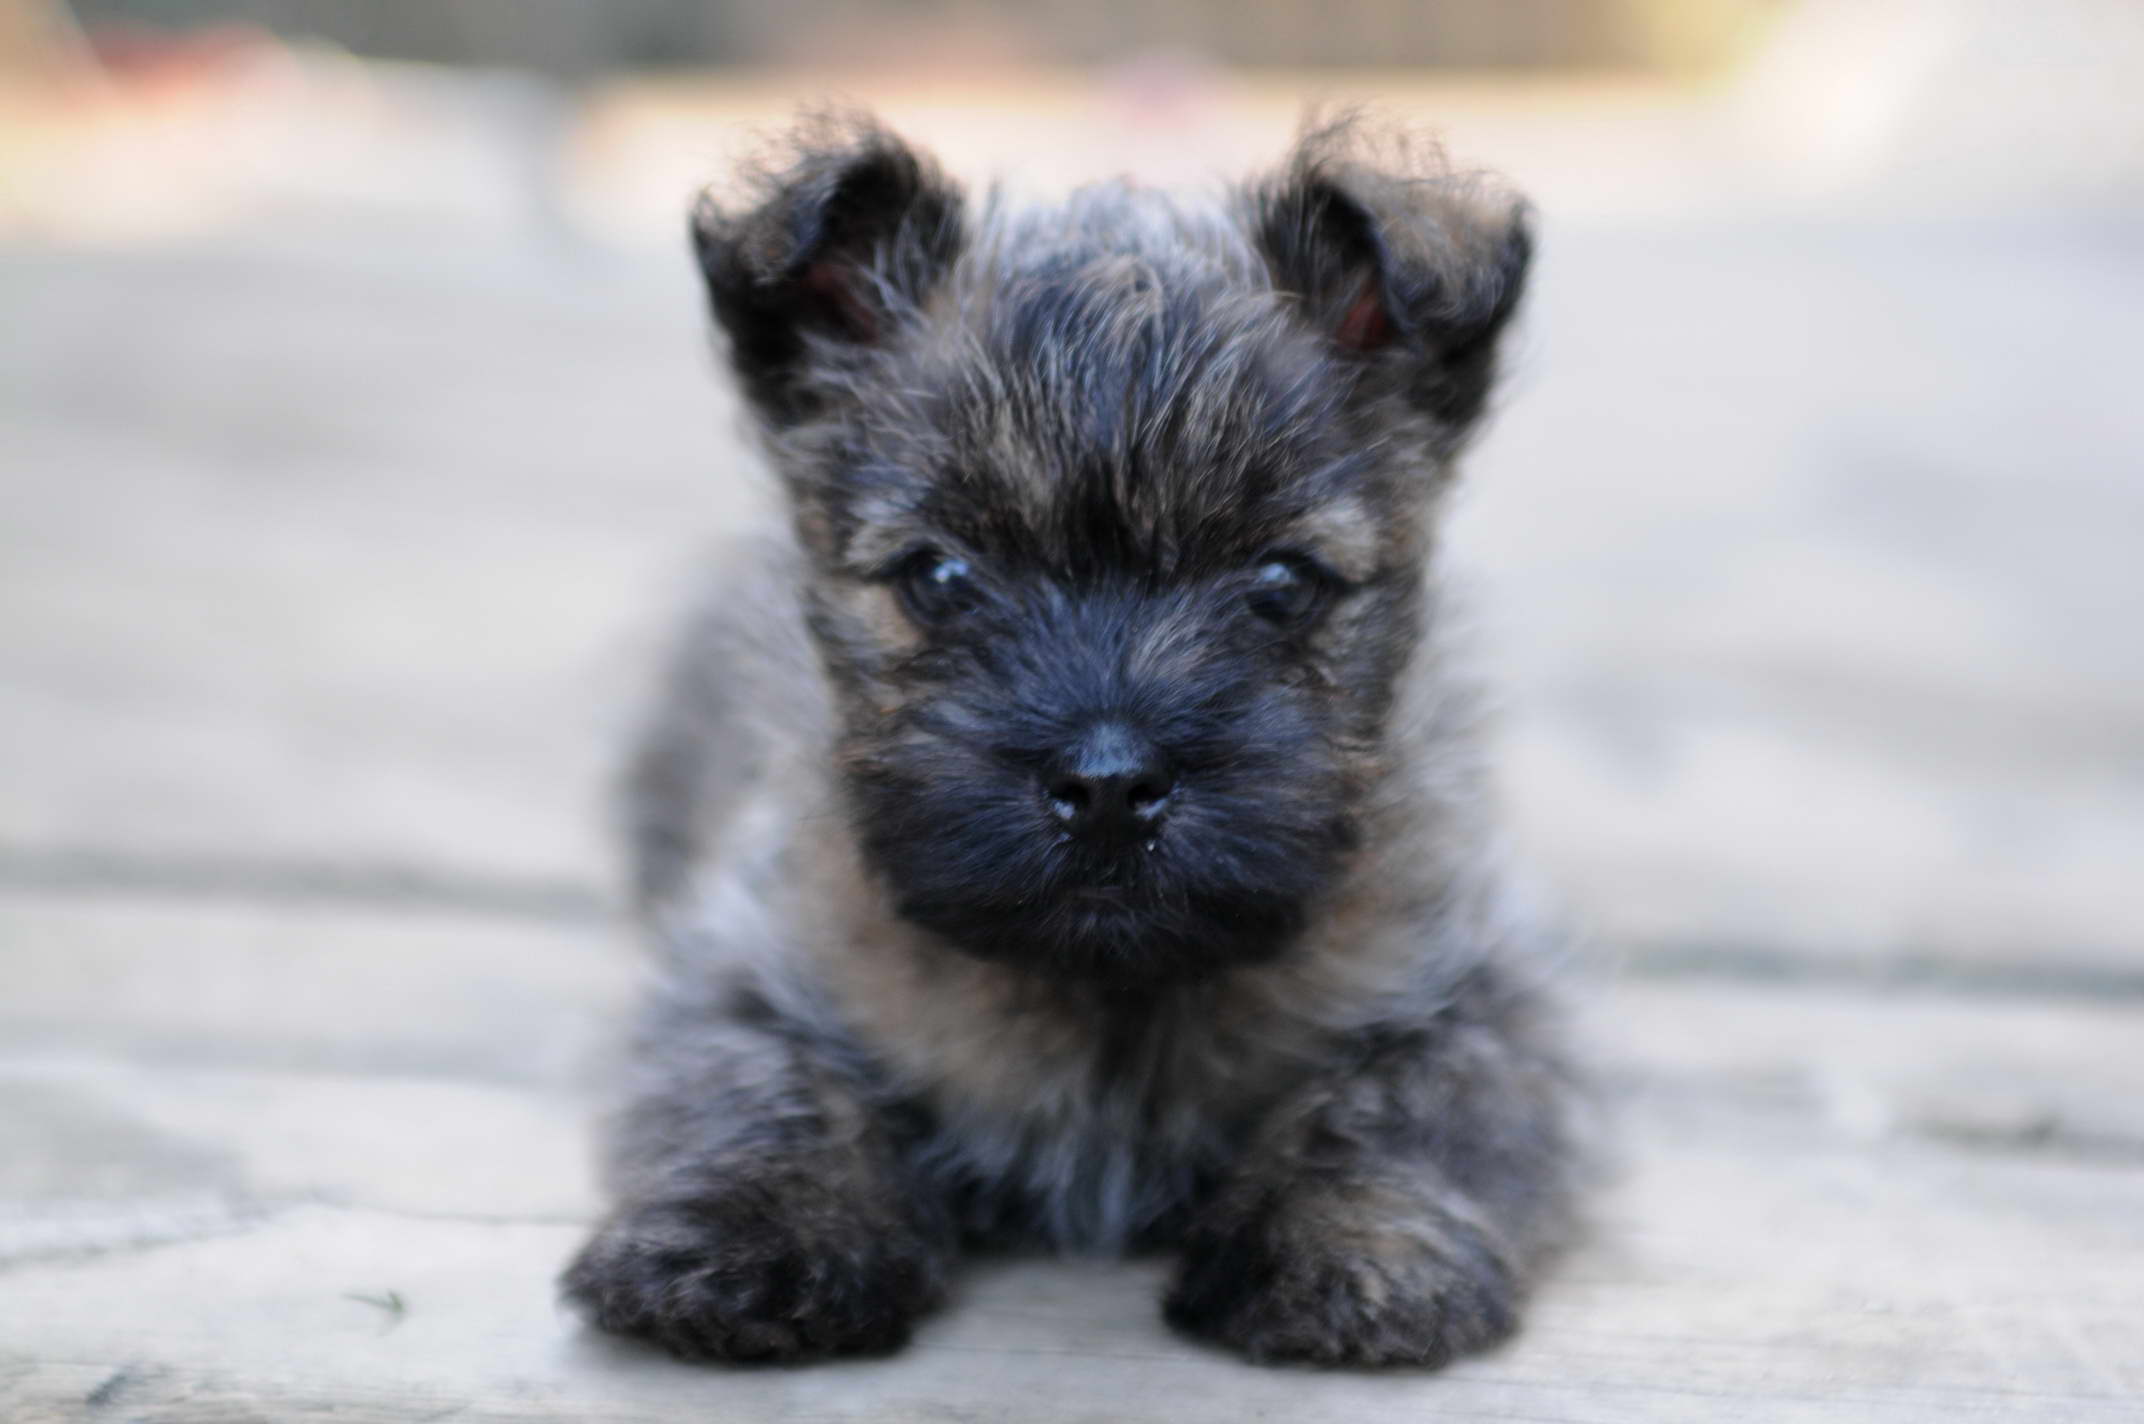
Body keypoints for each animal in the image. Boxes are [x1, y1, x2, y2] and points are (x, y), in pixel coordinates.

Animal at [561, 119, 1586, 1372]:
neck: (1107, 996)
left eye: (1281, 580)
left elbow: (1397, 1103)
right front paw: (750, 1232)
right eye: (938, 576)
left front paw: (1352, 1246)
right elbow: (770, 1087)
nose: (1106, 783)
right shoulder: (738, 971)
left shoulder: (1488, 995)